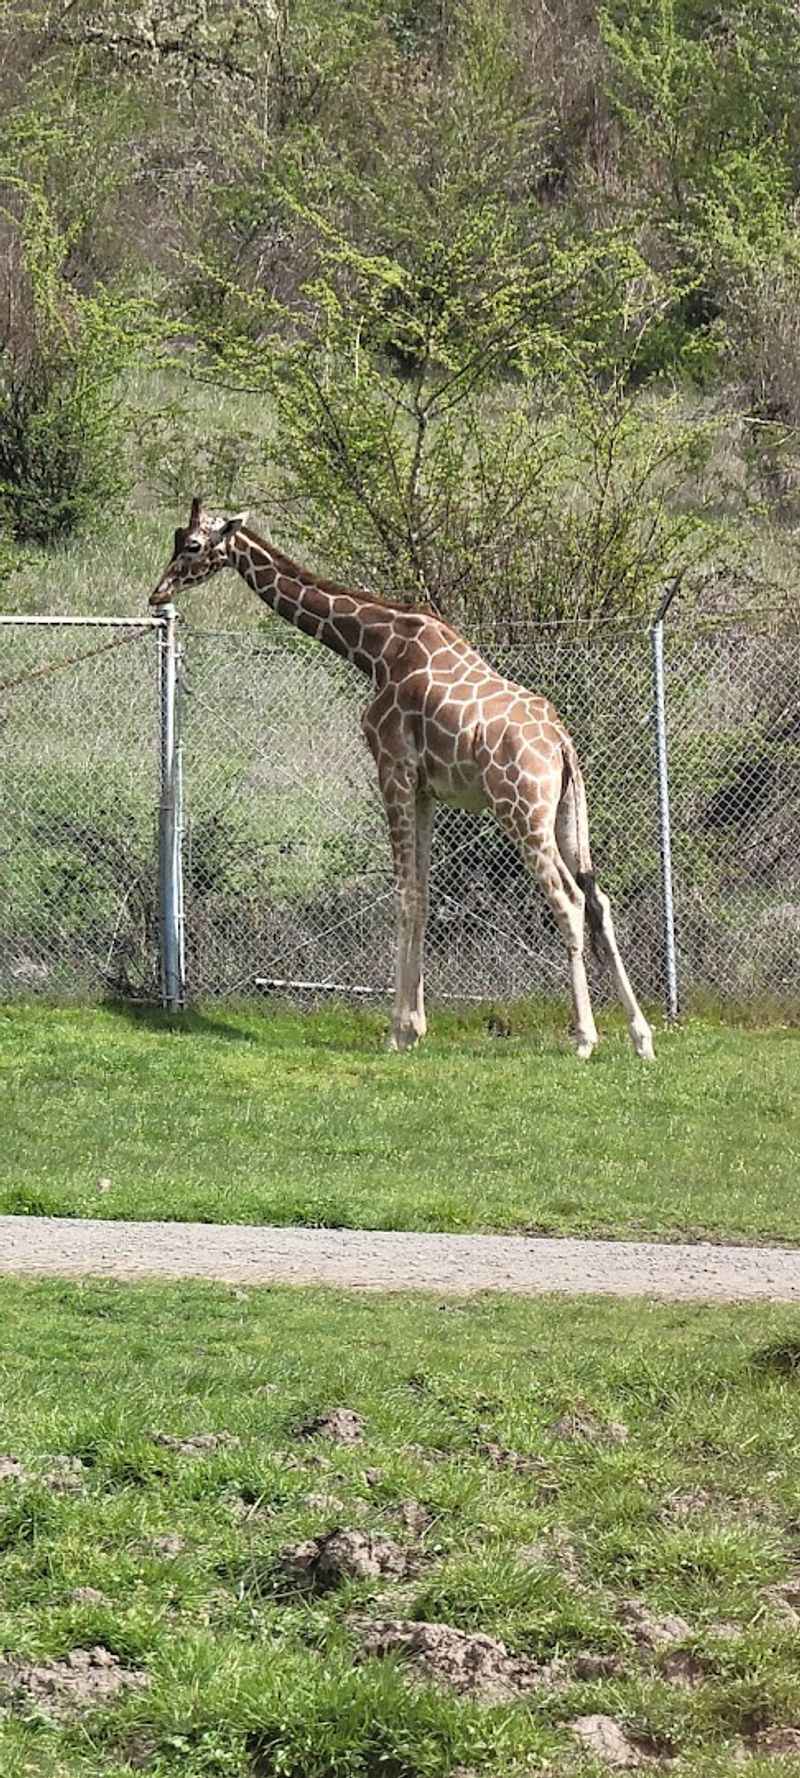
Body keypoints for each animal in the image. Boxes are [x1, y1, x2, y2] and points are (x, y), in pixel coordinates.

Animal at [150, 499, 654, 1061]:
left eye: (193, 545)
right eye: (176, 538)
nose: (157, 593)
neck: (373, 648)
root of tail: (562, 744)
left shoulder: (391, 767)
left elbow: (404, 894)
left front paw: (398, 1030)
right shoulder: (427, 789)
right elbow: (424, 893)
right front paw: (416, 1024)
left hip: (523, 812)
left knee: (567, 901)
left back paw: (585, 1038)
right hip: (567, 814)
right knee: (598, 899)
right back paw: (641, 1036)